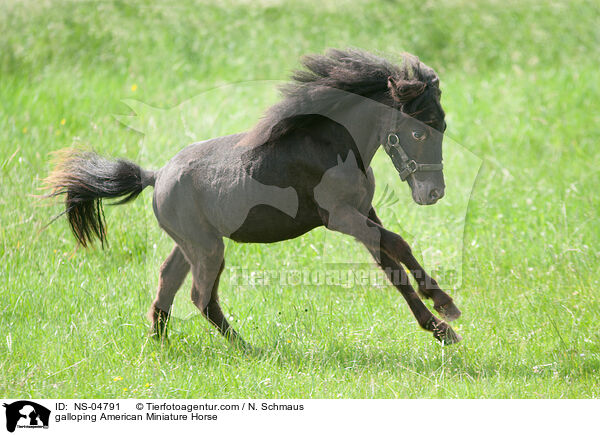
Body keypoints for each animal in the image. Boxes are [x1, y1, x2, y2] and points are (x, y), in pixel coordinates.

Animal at [47, 47, 464, 348]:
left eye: (443, 125)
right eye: (418, 132)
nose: (433, 192)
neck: (333, 146)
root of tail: (155, 176)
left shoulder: (364, 212)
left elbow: (394, 263)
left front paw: (441, 320)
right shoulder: (340, 217)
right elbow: (396, 244)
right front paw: (444, 309)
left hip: (192, 244)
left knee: (167, 281)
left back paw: (160, 344)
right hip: (208, 248)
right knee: (201, 296)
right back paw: (244, 348)